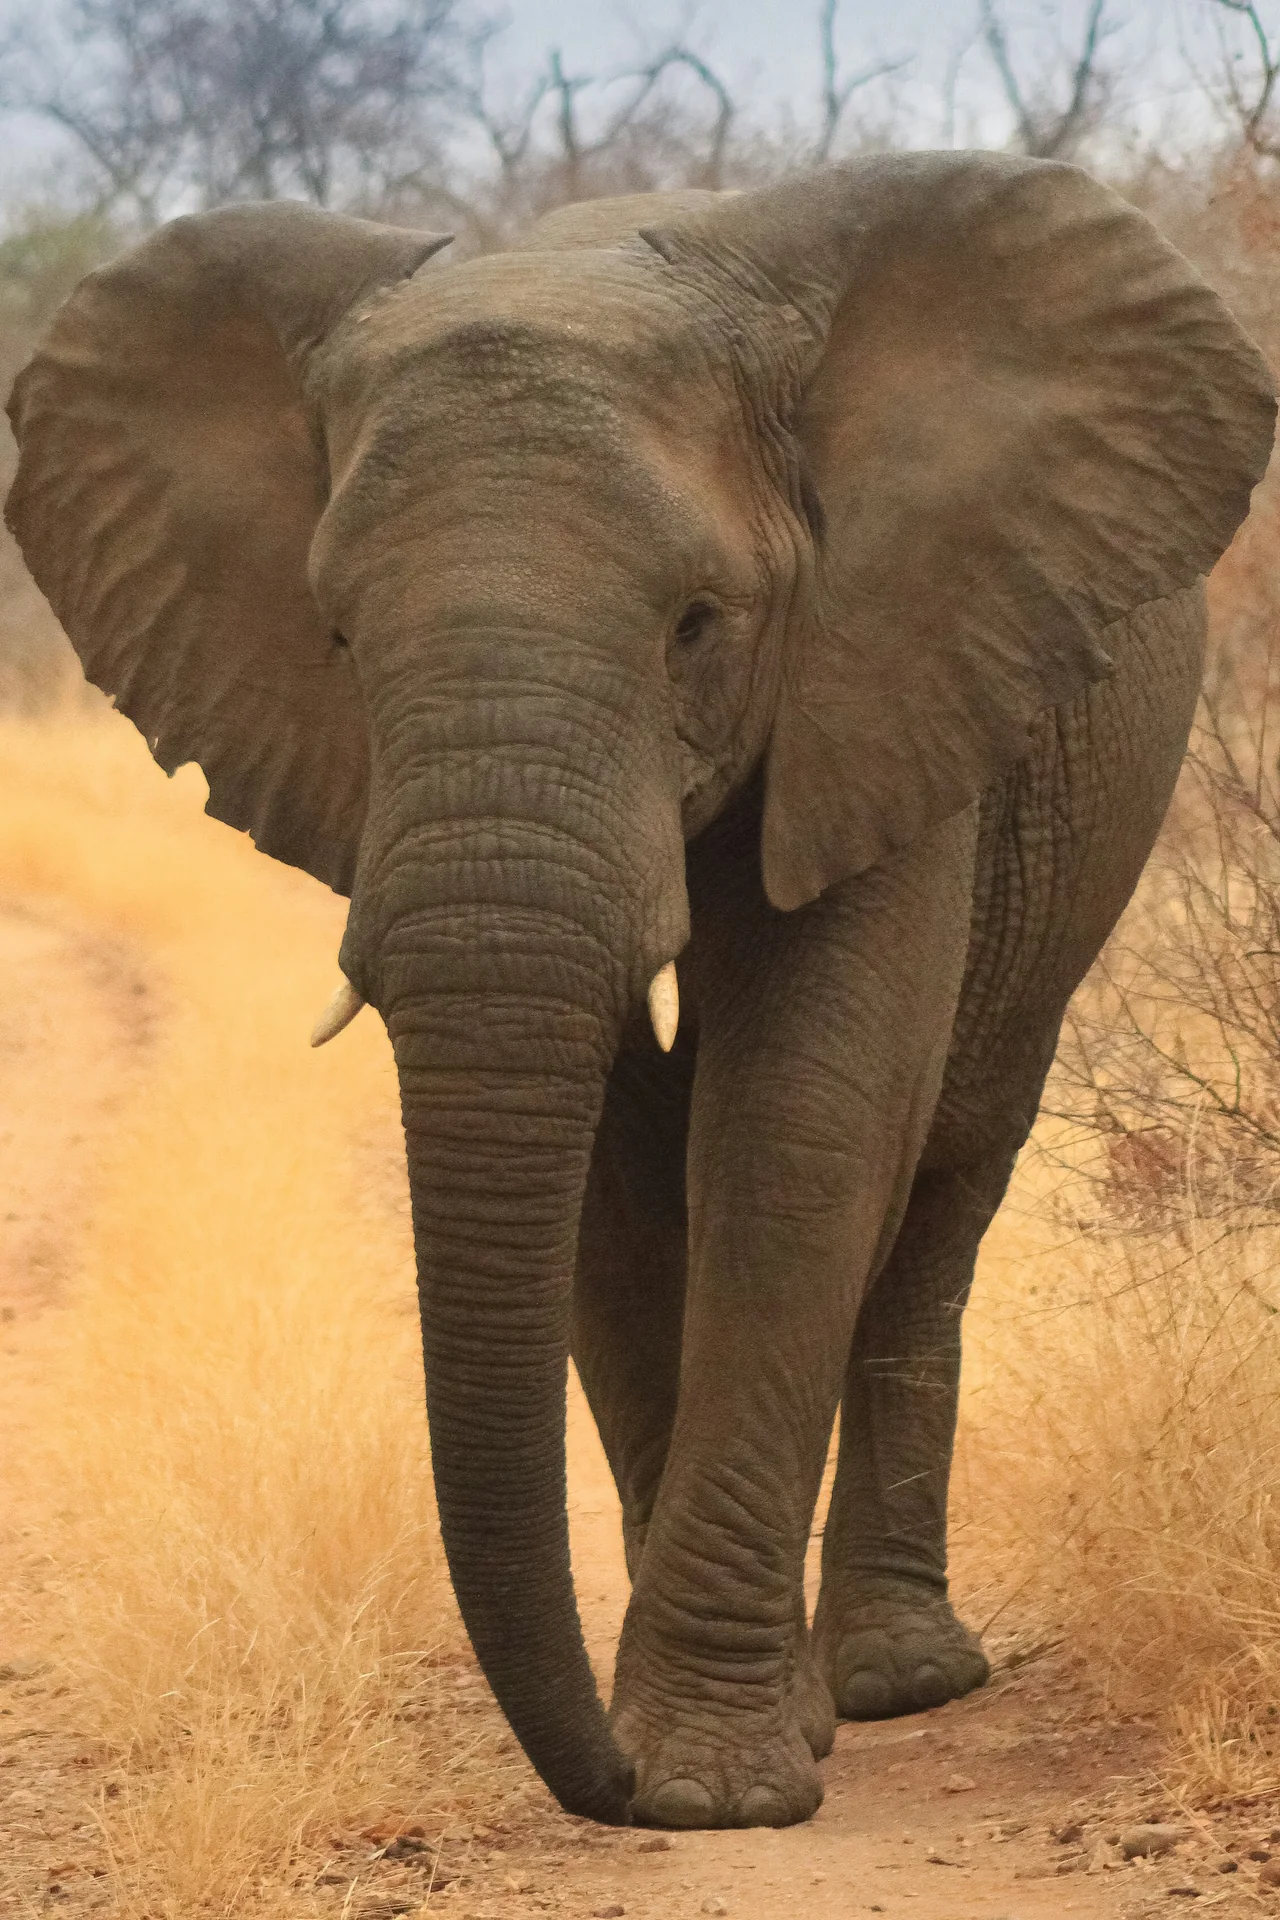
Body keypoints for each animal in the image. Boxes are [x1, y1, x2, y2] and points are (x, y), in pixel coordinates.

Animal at [5, 152, 1275, 1832]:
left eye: (697, 626)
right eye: (334, 636)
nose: (591, 1784)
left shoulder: (883, 672)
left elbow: (803, 1125)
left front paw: (711, 1785)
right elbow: (607, 1193)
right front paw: (712, 1746)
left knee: (947, 1178)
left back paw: (902, 1680)